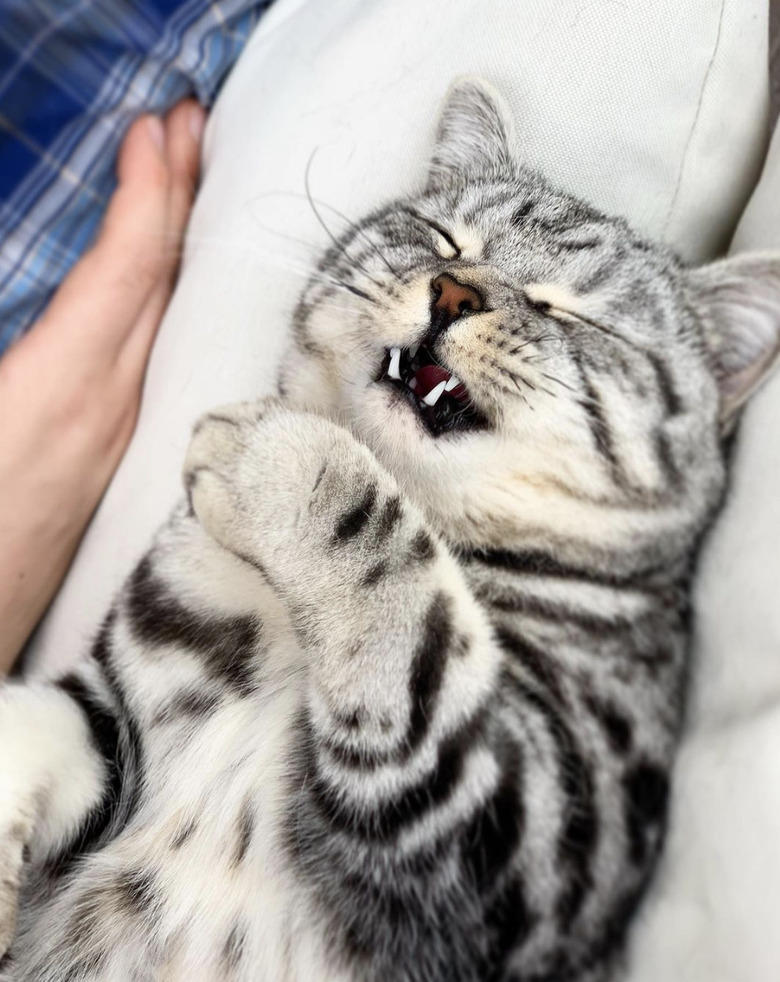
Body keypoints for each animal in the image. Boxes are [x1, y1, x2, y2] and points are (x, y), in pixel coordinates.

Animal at [1, 79, 780, 982]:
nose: (454, 292)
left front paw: (266, 451)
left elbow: (395, 576)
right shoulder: (115, 703)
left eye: (573, 315)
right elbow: (33, 725)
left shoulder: (531, 831)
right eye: (445, 239)